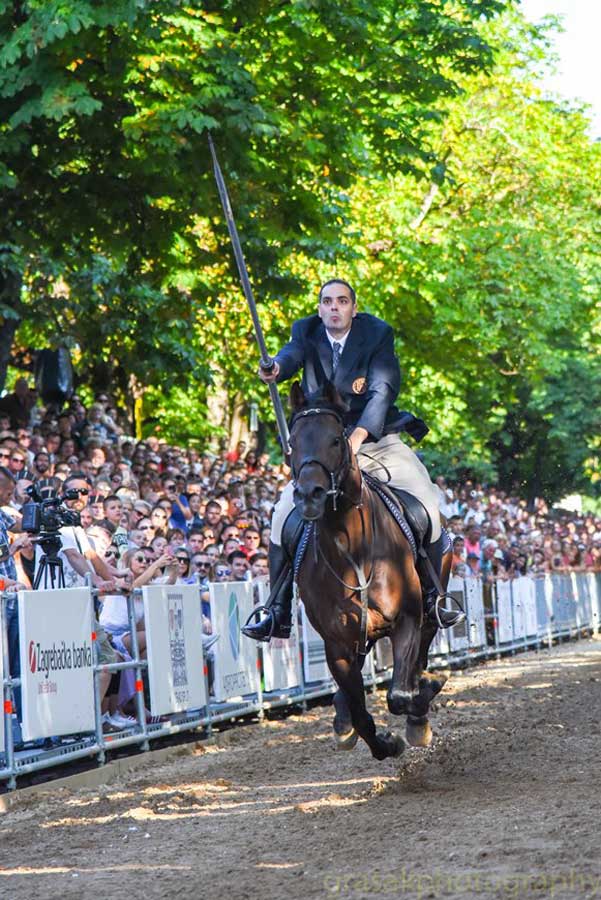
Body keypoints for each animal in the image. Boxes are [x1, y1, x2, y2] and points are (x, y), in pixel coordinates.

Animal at [288, 380, 448, 760]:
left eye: (336, 439)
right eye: (292, 442)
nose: (309, 496)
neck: (350, 549)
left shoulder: (408, 619)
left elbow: (399, 695)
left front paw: (423, 697)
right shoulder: (337, 645)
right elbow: (362, 711)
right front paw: (384, 743)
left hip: (429, 611)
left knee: (420, 656)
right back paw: (343, 718)